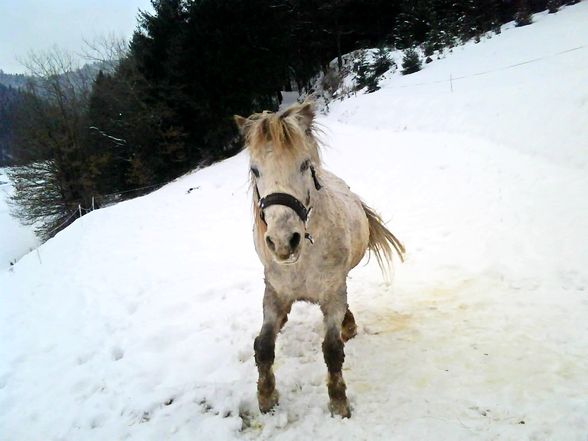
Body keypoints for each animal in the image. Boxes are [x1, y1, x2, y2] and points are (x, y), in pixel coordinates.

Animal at [234, 100, 404, 416]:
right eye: (255, 170)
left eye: (304, 165)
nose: (283, 242)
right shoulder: (274, 293)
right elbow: (263, 346)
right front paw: (267, 398)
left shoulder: (333, 292)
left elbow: (332, 350)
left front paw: (338, 402)